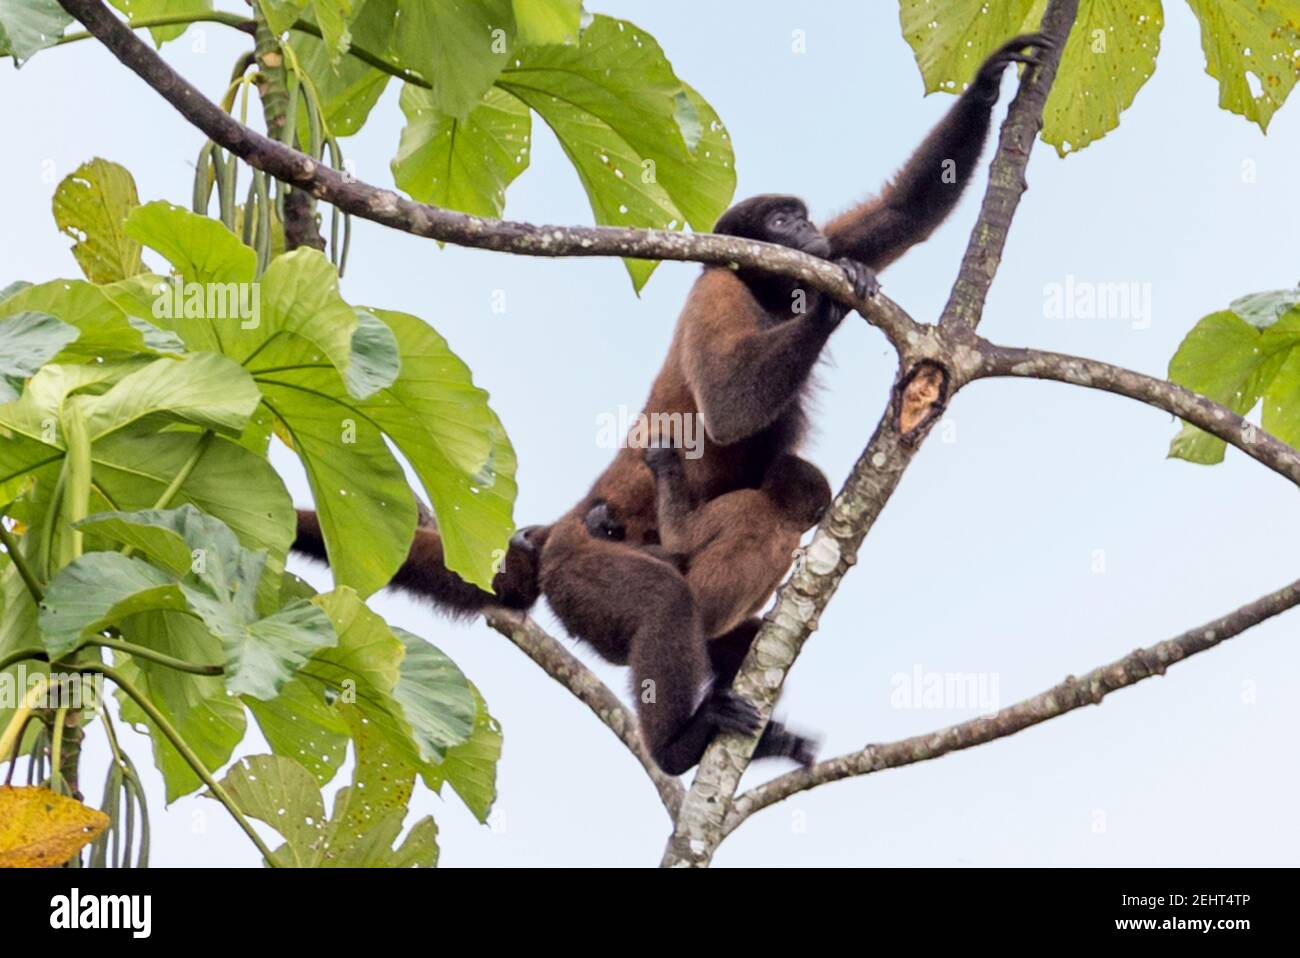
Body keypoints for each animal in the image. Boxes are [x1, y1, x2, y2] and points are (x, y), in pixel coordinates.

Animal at [295, 33, 1055, 774]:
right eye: (781, 217)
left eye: (804, 217)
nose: (806, 231)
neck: (764, 291)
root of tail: (561, 526)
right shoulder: (718, 290)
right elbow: (728, 404)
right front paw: (829, 308)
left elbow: (901, 216)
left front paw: (990, 79)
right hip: (582, 568)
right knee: (668, 598)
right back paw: (677, 746)